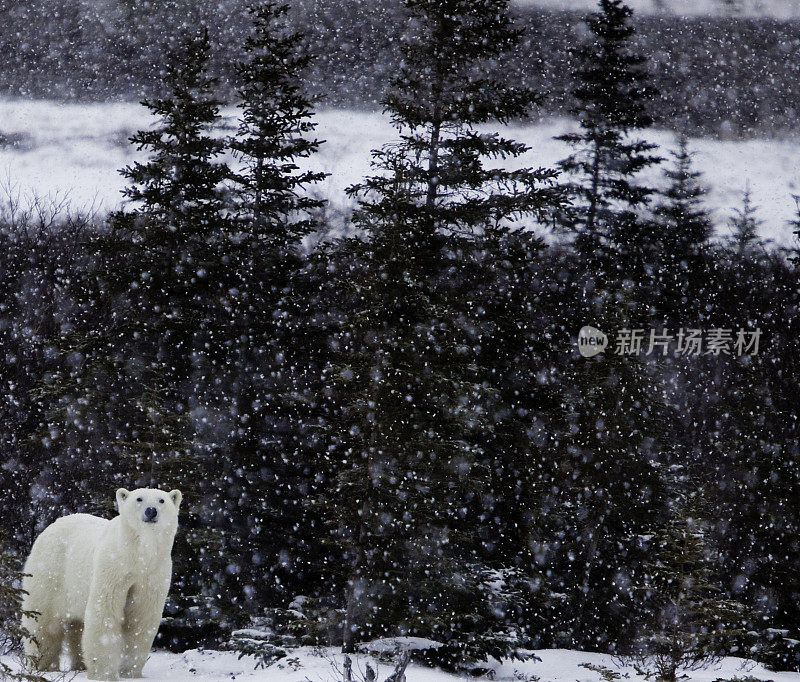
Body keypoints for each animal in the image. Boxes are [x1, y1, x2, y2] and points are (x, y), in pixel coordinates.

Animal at [20, 486, 183, 676]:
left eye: (162, 500)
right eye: (139, 498)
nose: (151, 511)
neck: (138, 554)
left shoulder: (153, 574)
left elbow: (141, 618)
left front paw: (130, 672)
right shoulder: (113, 567)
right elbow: (105, 612)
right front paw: (105, 673)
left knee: (76, 625)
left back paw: (79, 665)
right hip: (50, 572)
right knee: (43, 622)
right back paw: (42, 665)